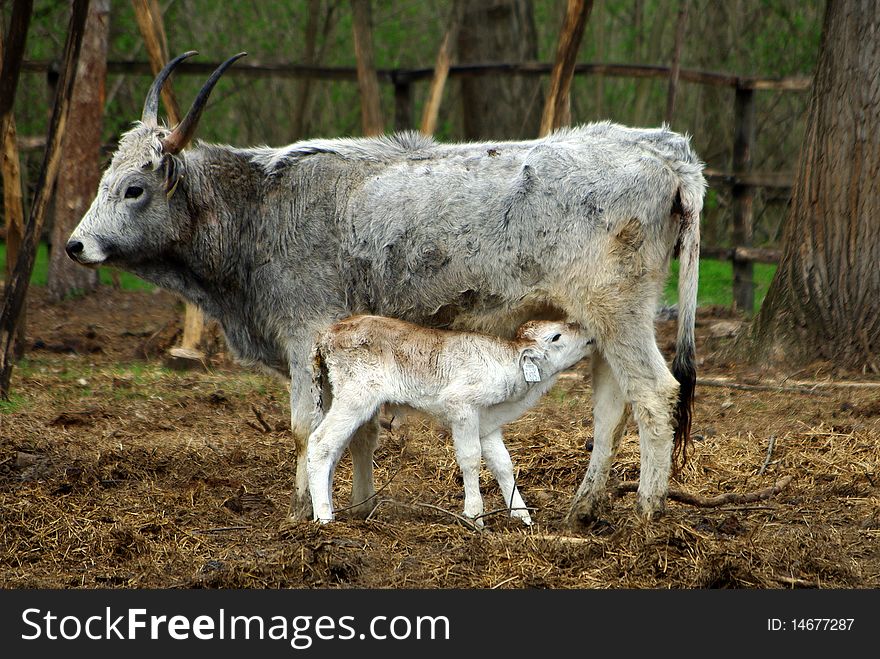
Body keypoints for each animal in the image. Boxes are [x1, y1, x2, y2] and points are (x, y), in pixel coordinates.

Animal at [306, 318, 596, 528]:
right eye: (556, 336)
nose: (588, 332)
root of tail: (327, 334)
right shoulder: (461, 407)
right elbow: (471, 458)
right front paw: (474, 516)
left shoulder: (487, 424)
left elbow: (503, 464)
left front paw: (521, 515)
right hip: (356, 396)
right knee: (319, 443)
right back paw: (324, 517)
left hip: (336, 396)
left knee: (333, 451)